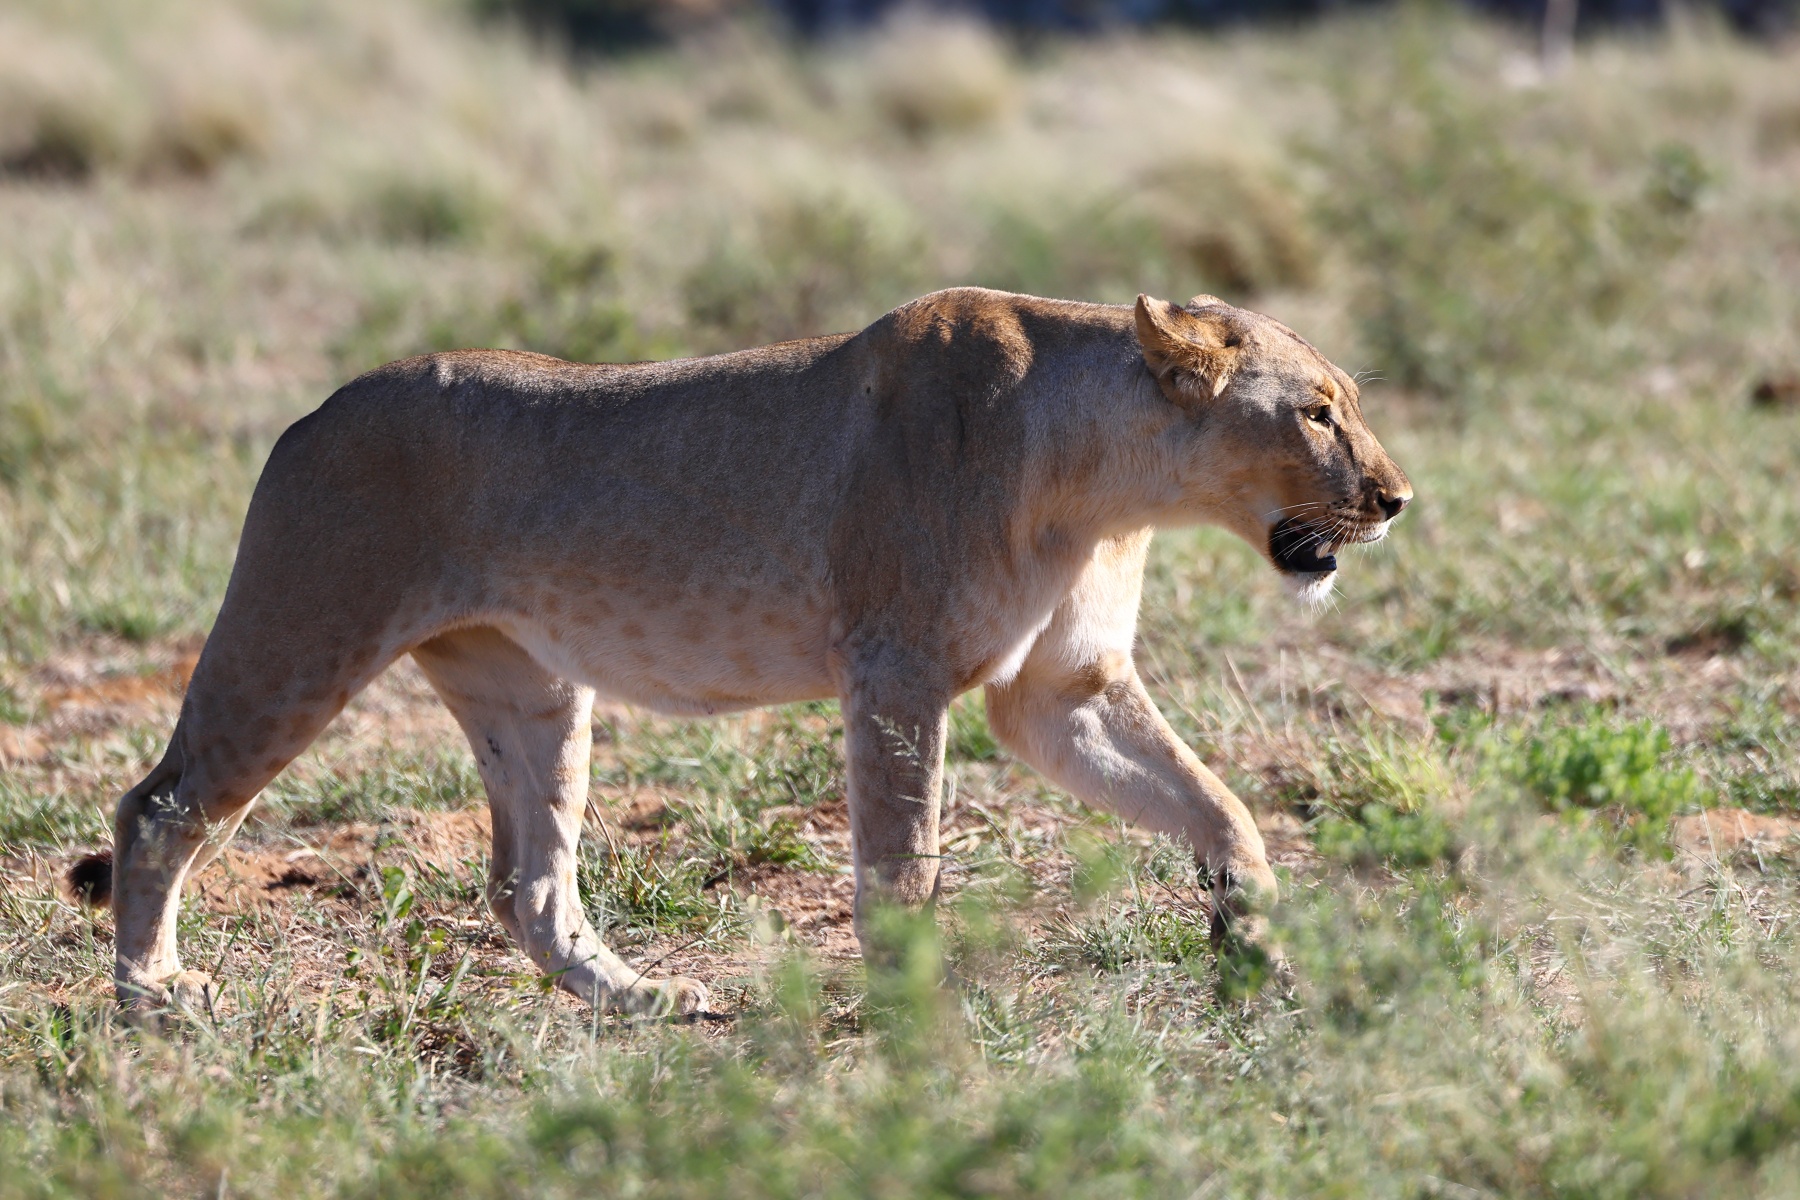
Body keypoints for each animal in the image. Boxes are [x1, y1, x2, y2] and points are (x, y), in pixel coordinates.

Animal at [66, 287, 1410, 1018]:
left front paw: (1254, 939)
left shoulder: (1061, 693)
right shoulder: (896, 671)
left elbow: (1216, 802)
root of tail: (311, 412)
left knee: (528, 885)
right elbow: (900, 866)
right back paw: (155, 1001)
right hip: (300, 631)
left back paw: (646, 1003)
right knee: (159, 806)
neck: (1113, 485)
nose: (1397, 500)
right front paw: (916, 1007)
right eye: (1318, 412)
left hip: (527, 687)